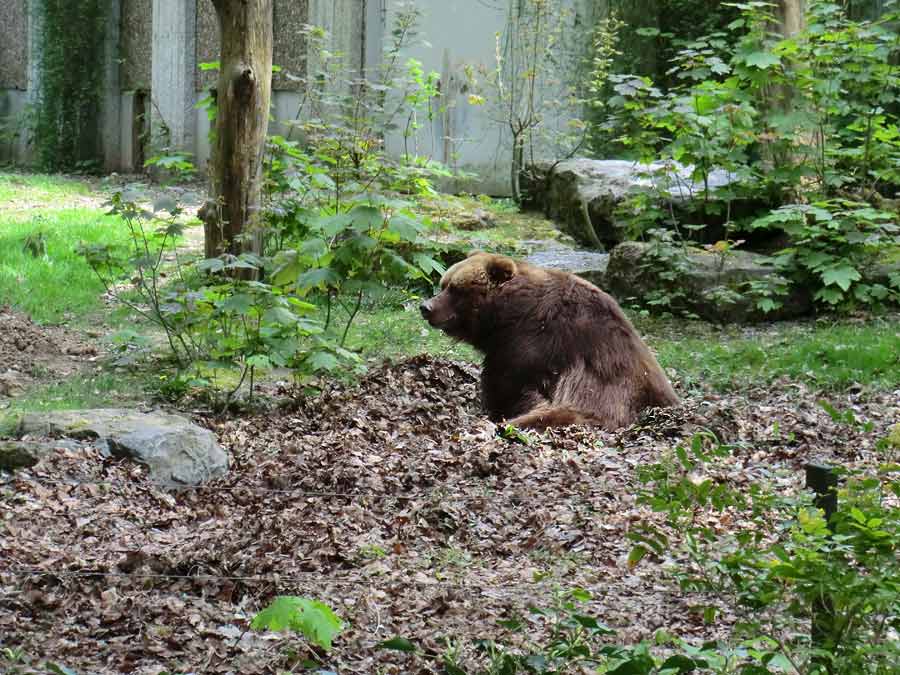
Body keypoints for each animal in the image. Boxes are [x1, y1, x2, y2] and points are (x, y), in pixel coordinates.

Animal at [420, 251, 676, 430]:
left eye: (455, 289)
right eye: (444, 284)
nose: (426, 307)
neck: (508, 315)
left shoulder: (536, 342)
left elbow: (508, 383)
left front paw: (497, 413)